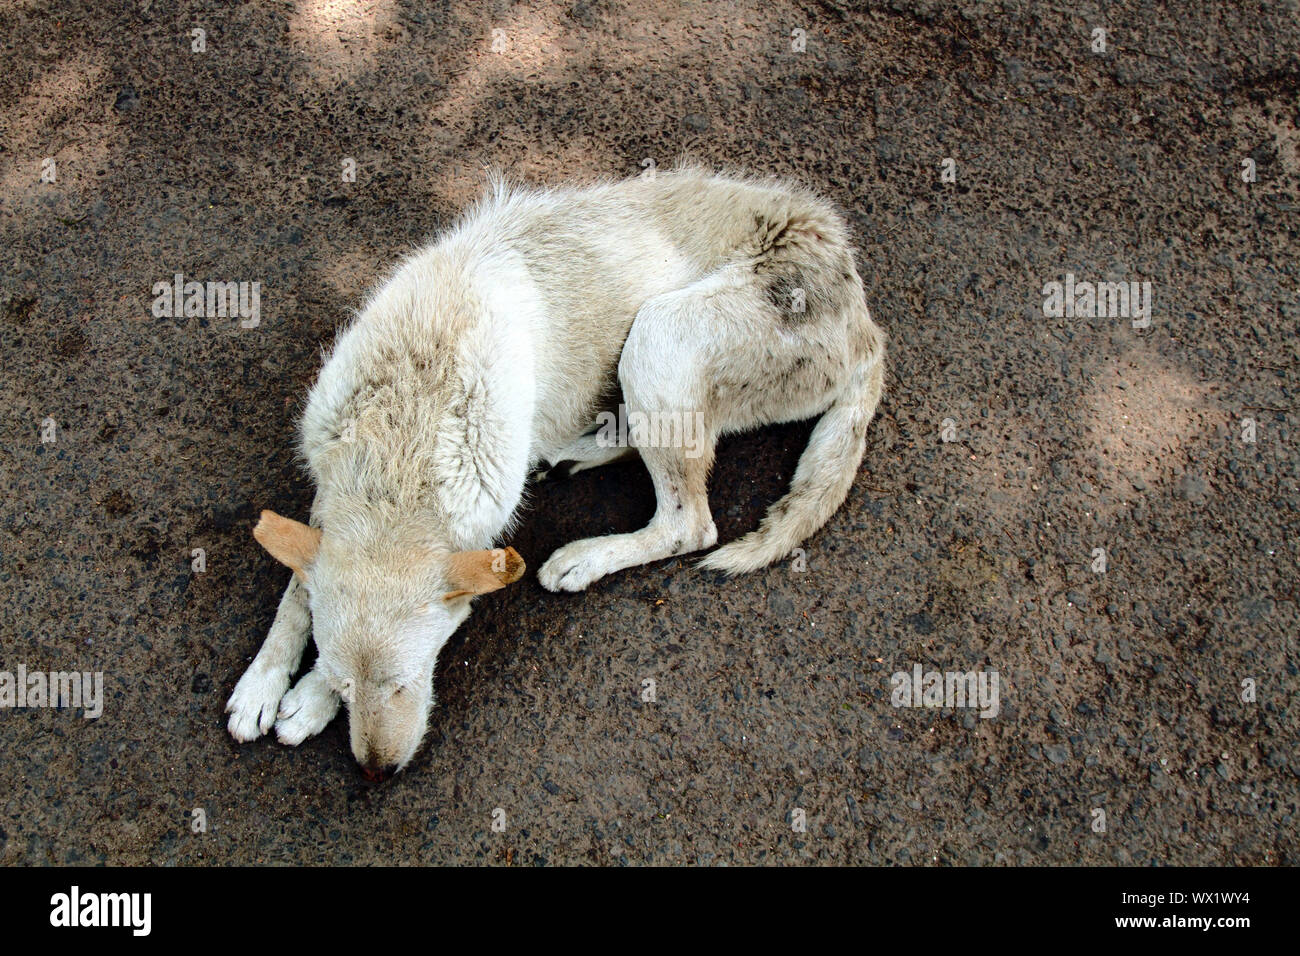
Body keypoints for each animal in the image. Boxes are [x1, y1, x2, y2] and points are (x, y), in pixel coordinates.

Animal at [231, 164, 883, 780]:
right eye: (349, 685)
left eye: (405, 682)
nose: (375, 773)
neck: (404, 419)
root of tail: (867, 326)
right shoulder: (330, 493)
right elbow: (297, 590)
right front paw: (266, 682)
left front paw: (305, 699)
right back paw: (581, 450)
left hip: (660, 333)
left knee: (690, 524)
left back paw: (585, 557)